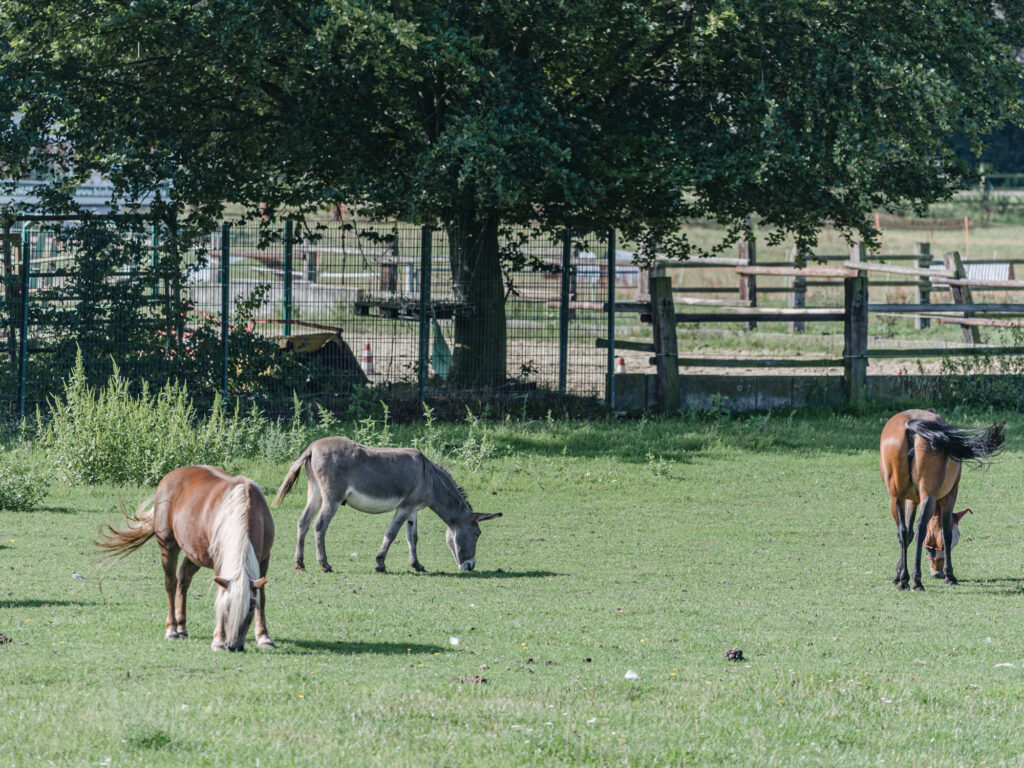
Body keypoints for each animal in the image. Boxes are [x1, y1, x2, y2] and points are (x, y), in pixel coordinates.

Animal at [96, 466, 276, 651]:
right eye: (226, 607)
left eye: (250, 608)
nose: (233, 645)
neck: (242, 508)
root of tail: (171, 476)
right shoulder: (219, 561)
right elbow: (219, 594)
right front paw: (218, 640)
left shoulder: (264, 560)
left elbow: (262, 597)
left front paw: (264, 638)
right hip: (168, 546)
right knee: (171, 584)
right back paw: (172, 630)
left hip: (195, 553)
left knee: (184, 578)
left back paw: (181, 627)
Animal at [270, 438, 497, 573]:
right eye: (477, 534)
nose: (470, 566)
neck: (430, 477)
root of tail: (312, 446)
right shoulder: (404, 508)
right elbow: (392, 533)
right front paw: (380, 563)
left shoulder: (413, 510)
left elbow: (412, 537)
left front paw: (416, 565)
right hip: (331, 499)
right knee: (319, 526)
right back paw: (324, 564)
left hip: (315, 494)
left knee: (303, 523)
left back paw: (299, 563)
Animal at [876, 411, 1003, 593]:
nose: (937, 573)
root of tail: (910, 425)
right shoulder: (950, 496)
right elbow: (946, 534)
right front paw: (950, 575)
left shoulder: (911, 500)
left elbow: (908, 533)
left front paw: (898, 574)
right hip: (929, 495)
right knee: (921, 526)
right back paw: (916, 580)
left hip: (896, 497)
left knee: (902, 530)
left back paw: (905, 580)